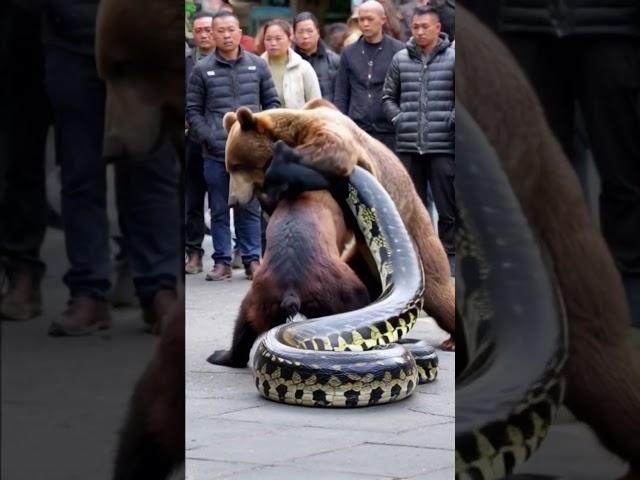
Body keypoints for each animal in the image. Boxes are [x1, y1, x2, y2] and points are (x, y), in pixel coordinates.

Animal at [222, 100, 458, 348]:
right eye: (230, 167)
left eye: (238, 166)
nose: (232, 200)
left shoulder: (331, 133)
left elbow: (335, 149)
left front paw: (280, 162)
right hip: (361, 261)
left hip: (420, 241)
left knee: (439, 294)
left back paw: (452, 337)